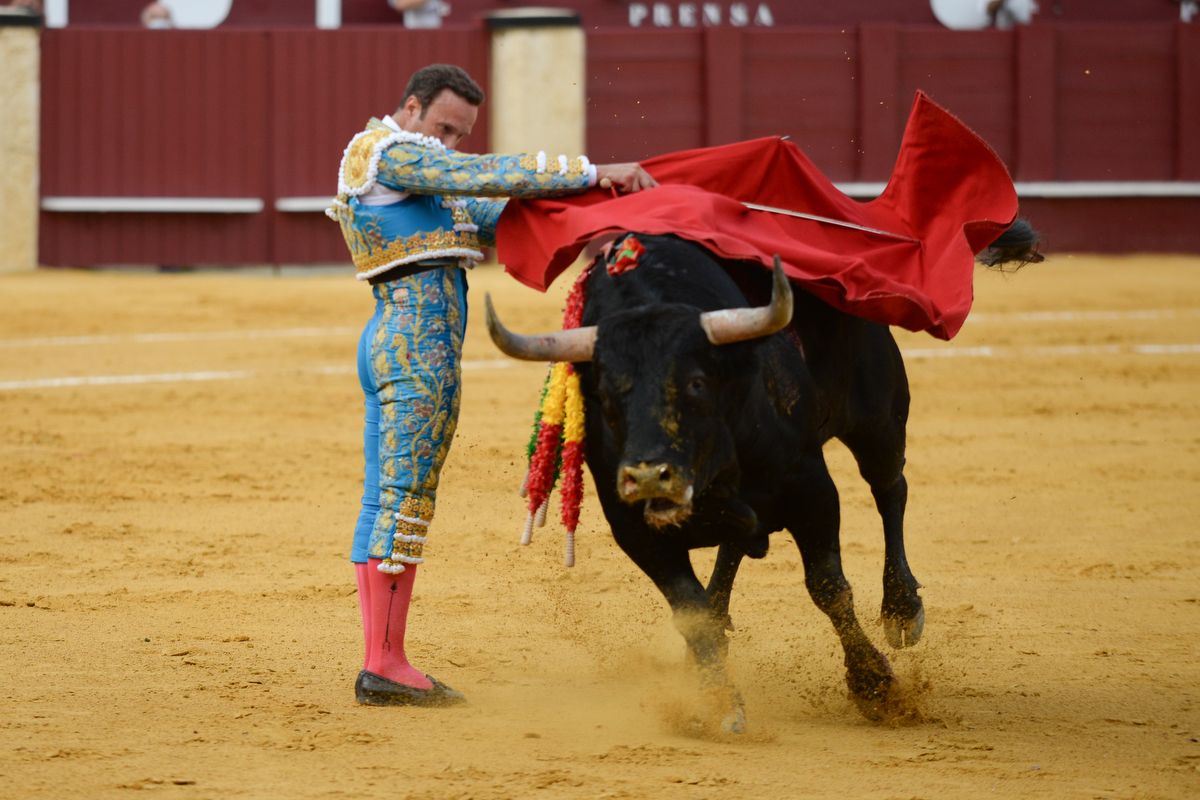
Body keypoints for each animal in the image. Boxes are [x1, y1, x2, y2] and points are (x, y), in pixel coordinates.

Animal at [482, 235, 921, 729]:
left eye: (695, 383)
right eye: (607, 396)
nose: (649, 477)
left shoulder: (810, 486)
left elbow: (828, 586)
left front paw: (875, 687)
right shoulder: (635, 529)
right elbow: (692, 613)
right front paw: (719, 701)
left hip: (879, 418)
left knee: (890, 488)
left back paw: (903, 609)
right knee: (736, 548)